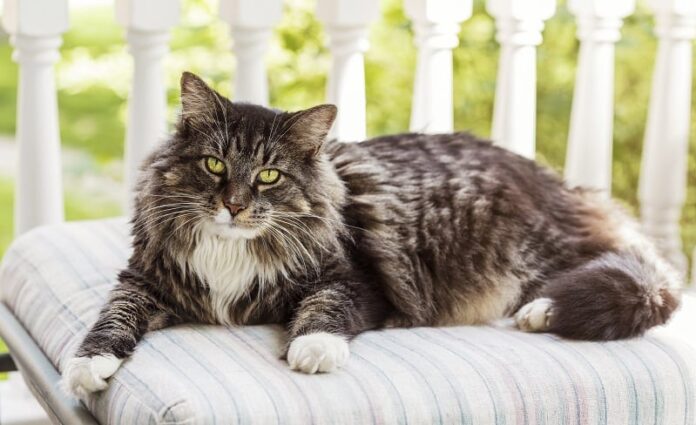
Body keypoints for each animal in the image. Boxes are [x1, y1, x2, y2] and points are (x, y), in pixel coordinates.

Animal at [62, 72, 684, 398]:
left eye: (269, 175)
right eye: (215, 165)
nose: (234, 206)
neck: (231, 250)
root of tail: (567, 189)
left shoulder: (354, 277)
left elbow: (326, 309)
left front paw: (312, 349)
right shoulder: (142, 278)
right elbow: (111, 318)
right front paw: (88, 365)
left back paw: (541, 313)